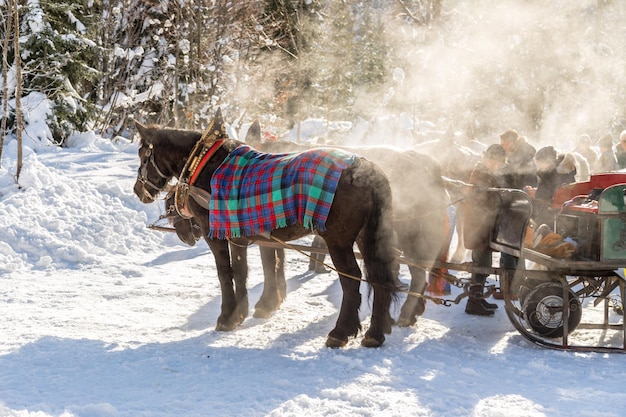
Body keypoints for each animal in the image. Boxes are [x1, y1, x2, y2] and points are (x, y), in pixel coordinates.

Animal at [132, 111, 398, 348]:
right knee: (380, 279)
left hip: (338, 241)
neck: (205, 165)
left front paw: (226, 317)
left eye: (143, 155)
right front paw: (240, 314)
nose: (137, 190)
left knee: (351, 281)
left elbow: (224, 273)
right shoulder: (238, 235)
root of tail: (370, 169)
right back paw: (375, 334)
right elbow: (241, 271)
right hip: (368, 237)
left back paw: (341, 332)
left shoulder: (213, 233)